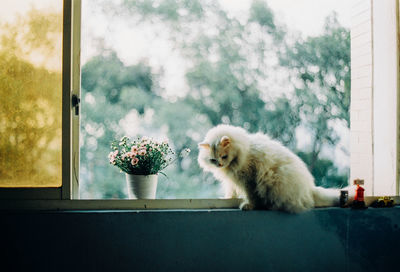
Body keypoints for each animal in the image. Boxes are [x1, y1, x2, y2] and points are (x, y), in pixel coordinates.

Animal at [197, 124, 344, 214]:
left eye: (224, 156)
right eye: (213, 160)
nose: (219, 165)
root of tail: (310, 189)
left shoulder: (249, 179)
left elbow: (251, 196)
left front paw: (249, 205)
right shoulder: (232, 180)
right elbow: (231, 192)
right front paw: (227, 199)